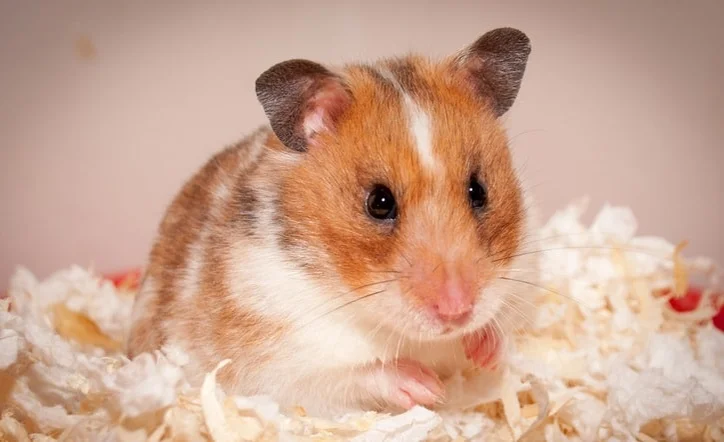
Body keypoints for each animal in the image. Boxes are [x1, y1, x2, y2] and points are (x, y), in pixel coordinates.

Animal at [127, 27, 539, 417]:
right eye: (379, 203)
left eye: (478, 190)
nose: (457, 312)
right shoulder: (279, 361)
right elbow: (358, 373)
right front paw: (426, 387)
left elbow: (504, 327)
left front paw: (484, 350)